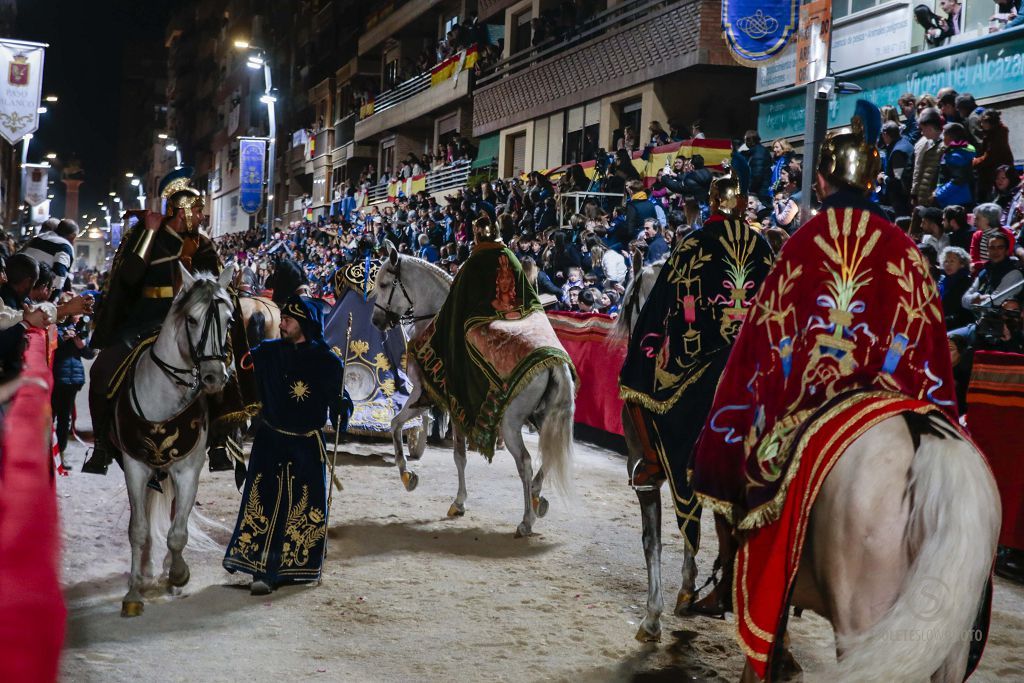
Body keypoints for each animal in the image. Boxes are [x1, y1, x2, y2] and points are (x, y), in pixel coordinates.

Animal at [115, 266, 234, 618]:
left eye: (230, 320)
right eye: (192, 320)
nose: (214, 377)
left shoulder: (188, 469)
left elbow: (178, 531)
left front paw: (178, 573)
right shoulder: (135, 466)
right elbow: (138, 529)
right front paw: (133, 592)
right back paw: (146, 571)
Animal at [368, 245, 577, 540]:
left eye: (385, 284)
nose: (376, 321)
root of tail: (554, 361)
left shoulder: (426, 395)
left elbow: (421, 436)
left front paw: (414, 479)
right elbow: (402, 427)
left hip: (510, 424)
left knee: (525, 463)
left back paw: (526, 521)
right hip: (545, 418)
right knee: (547, 455)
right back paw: (537, 498)